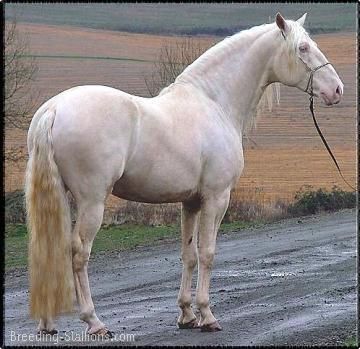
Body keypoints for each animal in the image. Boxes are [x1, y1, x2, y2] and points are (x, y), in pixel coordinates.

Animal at [25, 12, 344, 334]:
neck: (214, 102)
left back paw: (47, 323)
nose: (337, 90)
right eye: (303, 48)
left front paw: (187, 314)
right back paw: (94, 321)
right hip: (92, 201)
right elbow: (207, 253)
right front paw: (207, 315)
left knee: (50, 251)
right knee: (79, 254)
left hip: (61, 196)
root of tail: (53, 110)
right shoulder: (217, 197)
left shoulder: (190, 201)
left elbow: (188, 255)